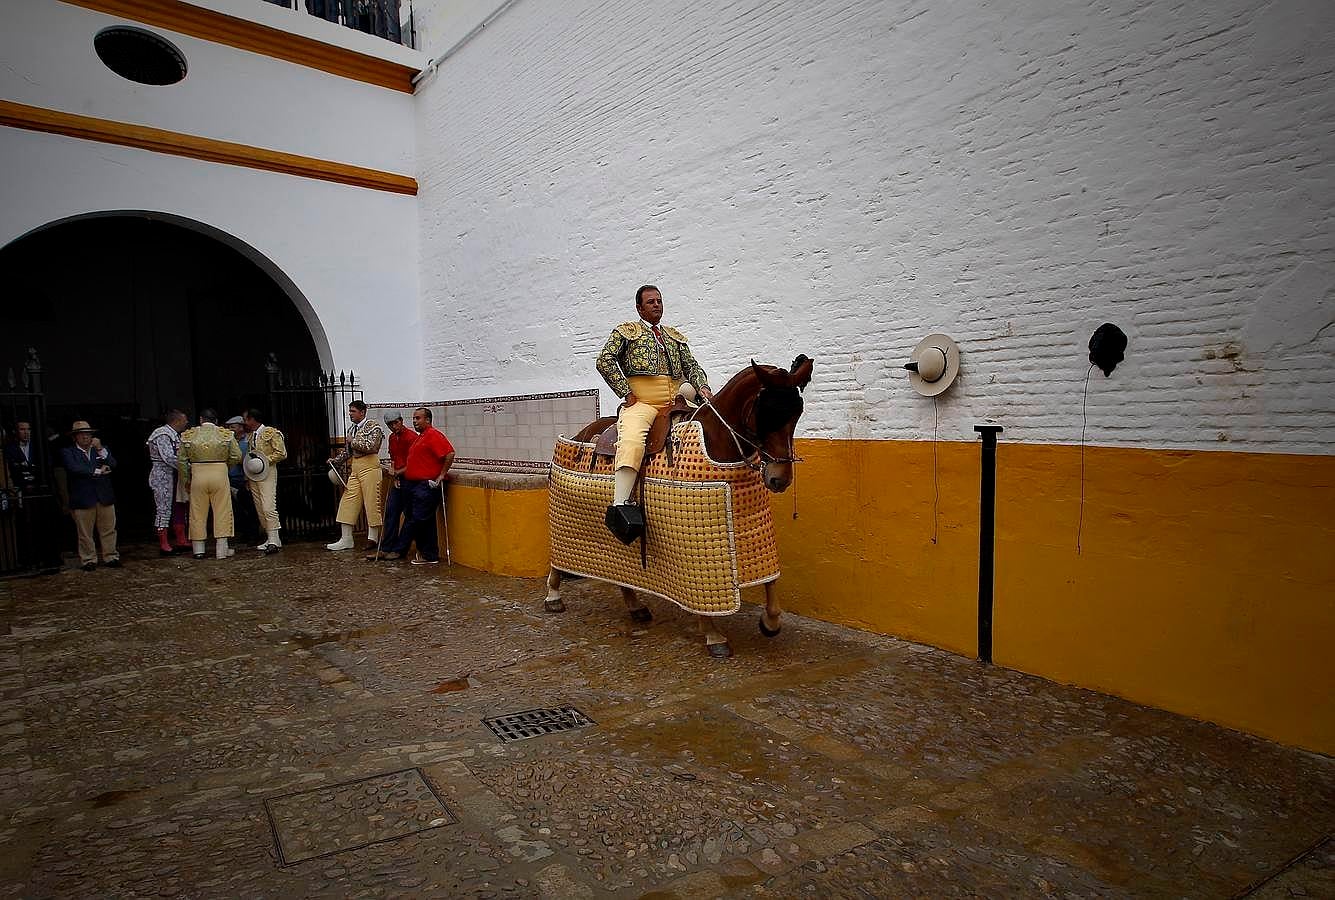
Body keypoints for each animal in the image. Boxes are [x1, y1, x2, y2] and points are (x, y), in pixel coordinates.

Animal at [542, 355, 811, 654]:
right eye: (768, 413)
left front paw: (770, 623)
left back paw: (636, 607)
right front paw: (713, 634)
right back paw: (553, 596)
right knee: (559, 558)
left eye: (796, 415)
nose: (779, 479)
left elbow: (771, 579)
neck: (716, 438)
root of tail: (580, 433)